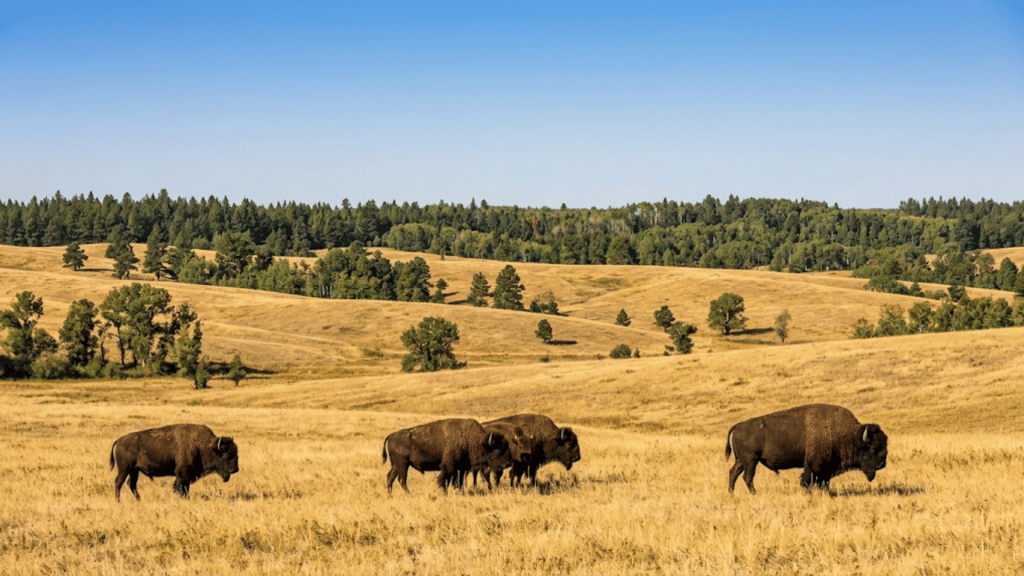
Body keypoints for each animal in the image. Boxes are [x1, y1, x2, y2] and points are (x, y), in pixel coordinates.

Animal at [109, 423, 239, 501]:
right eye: (228, 455)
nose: (235, 469)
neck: (204, 445)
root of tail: (119, 440)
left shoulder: (187, 476)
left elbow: (185, 488)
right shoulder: (183, 475)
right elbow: (180, 487)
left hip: (134, 471)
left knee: (131, 484)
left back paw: (139, 500)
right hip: (124, 470)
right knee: (119, 483)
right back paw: (118, 501)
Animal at [382, 418, 511, 494]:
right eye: (499, 448)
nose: (508, 463)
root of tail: (391, 435)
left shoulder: (461, 468)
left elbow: (458, 482)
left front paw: (459, 492)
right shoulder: (449, 467)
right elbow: (444, 480)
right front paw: (445, 493)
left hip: (396, 465)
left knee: (390, 478)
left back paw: (390, 494)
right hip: (403, 464)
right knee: (401, 480)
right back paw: (410, 495)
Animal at [726, 403, 888, 493]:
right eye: (873, 448)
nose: (882, 464)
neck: (847, 434)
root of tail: (738, 426)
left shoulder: (826, 470)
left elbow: (824, 482)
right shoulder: (813, 466)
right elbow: (808, 480)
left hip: (742, 461)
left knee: (733, 473)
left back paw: (731, 494)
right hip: (751, 461)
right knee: (747, 477)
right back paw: (754, 494)